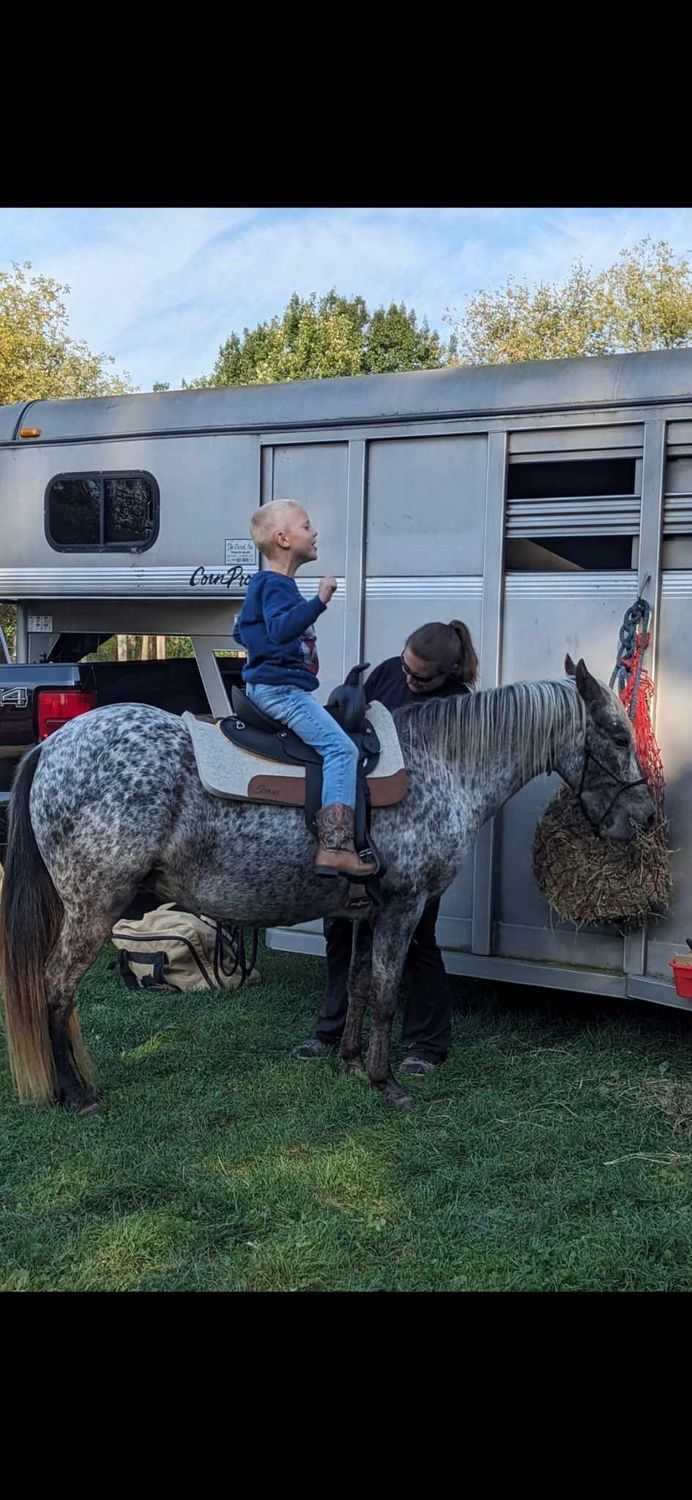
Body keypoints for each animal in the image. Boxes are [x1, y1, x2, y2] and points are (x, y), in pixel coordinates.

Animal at [0, 655, 654, 1115]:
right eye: (619, 736)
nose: (643, 817)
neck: (440, 764)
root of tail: (52, 746)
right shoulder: (404, 905)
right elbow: (387, 992)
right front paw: (386, 1082)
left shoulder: (366, 911)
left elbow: (360, 985)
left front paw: (350, 1063)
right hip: (93, 907)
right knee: (54, 989)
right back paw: (77, 1094)